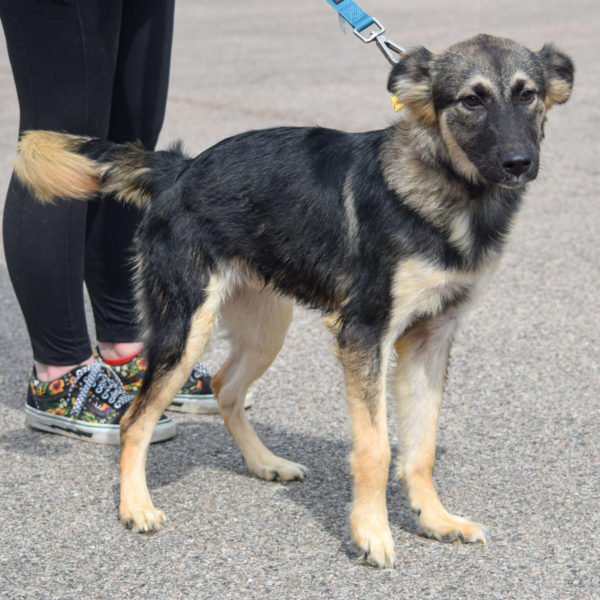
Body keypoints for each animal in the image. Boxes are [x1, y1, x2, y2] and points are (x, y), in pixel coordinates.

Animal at [14, 35, 576, 568]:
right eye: (471, 100)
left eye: (527, 95)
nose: (519, 163)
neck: (447, 187)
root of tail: (181, 168)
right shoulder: (364, 334)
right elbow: (375, 447)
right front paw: (371, 533)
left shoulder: (430, 341)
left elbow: (421, 448)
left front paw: (435, 520)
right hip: (185, 328)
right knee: (136, 419)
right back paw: (135, 506)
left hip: (267, 327)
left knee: (223, 386)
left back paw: (265, 462)